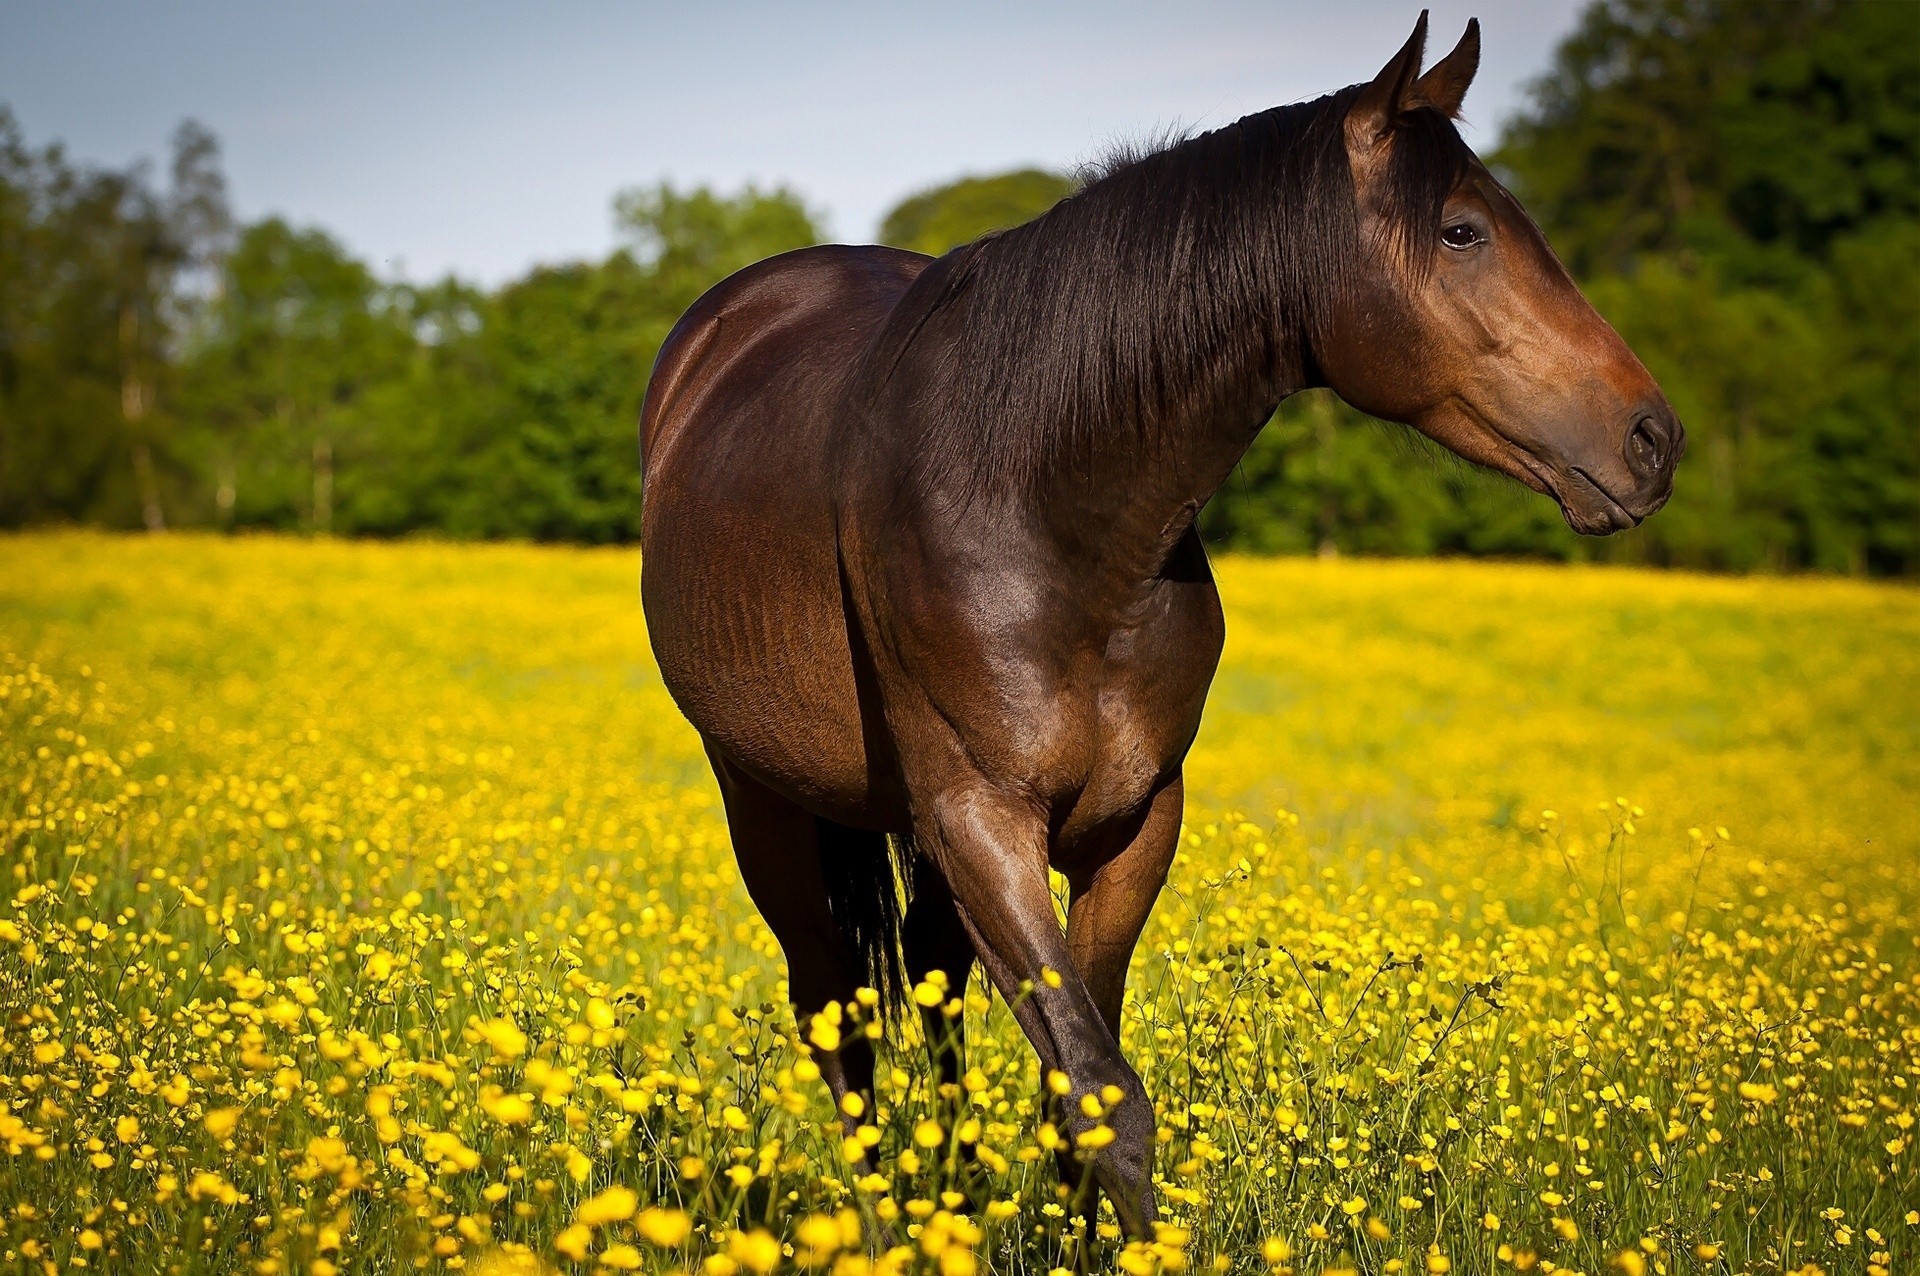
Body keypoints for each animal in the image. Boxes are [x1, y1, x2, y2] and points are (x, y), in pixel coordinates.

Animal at [638, 12, 1682, 1235]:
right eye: (1462, 231)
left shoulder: (1133, 822)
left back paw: (945, 1199)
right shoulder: (982, 819)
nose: (1653, 438)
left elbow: (1077, 1090)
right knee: (832, 1003)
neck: (1046, 505)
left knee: (933, 997)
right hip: (764, 798)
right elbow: (1103, 1093)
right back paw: (886, 1218)